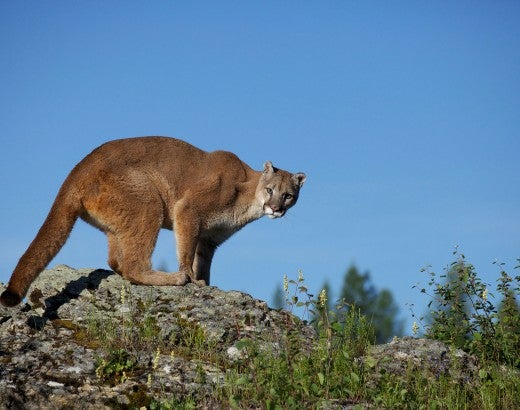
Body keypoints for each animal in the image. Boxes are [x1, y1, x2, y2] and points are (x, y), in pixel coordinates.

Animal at [0, 136, 306, 306]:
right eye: (271, 190)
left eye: (289, 195)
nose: (276, 208)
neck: (249, 195)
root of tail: (77, 170)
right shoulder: (188, 210)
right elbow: (186, 252)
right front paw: (191, 279)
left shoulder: (209, 240)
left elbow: (202, 262)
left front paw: (206, 283)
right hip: (148, 202)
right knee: (132, 265)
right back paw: (173, 279)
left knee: (117, 261)